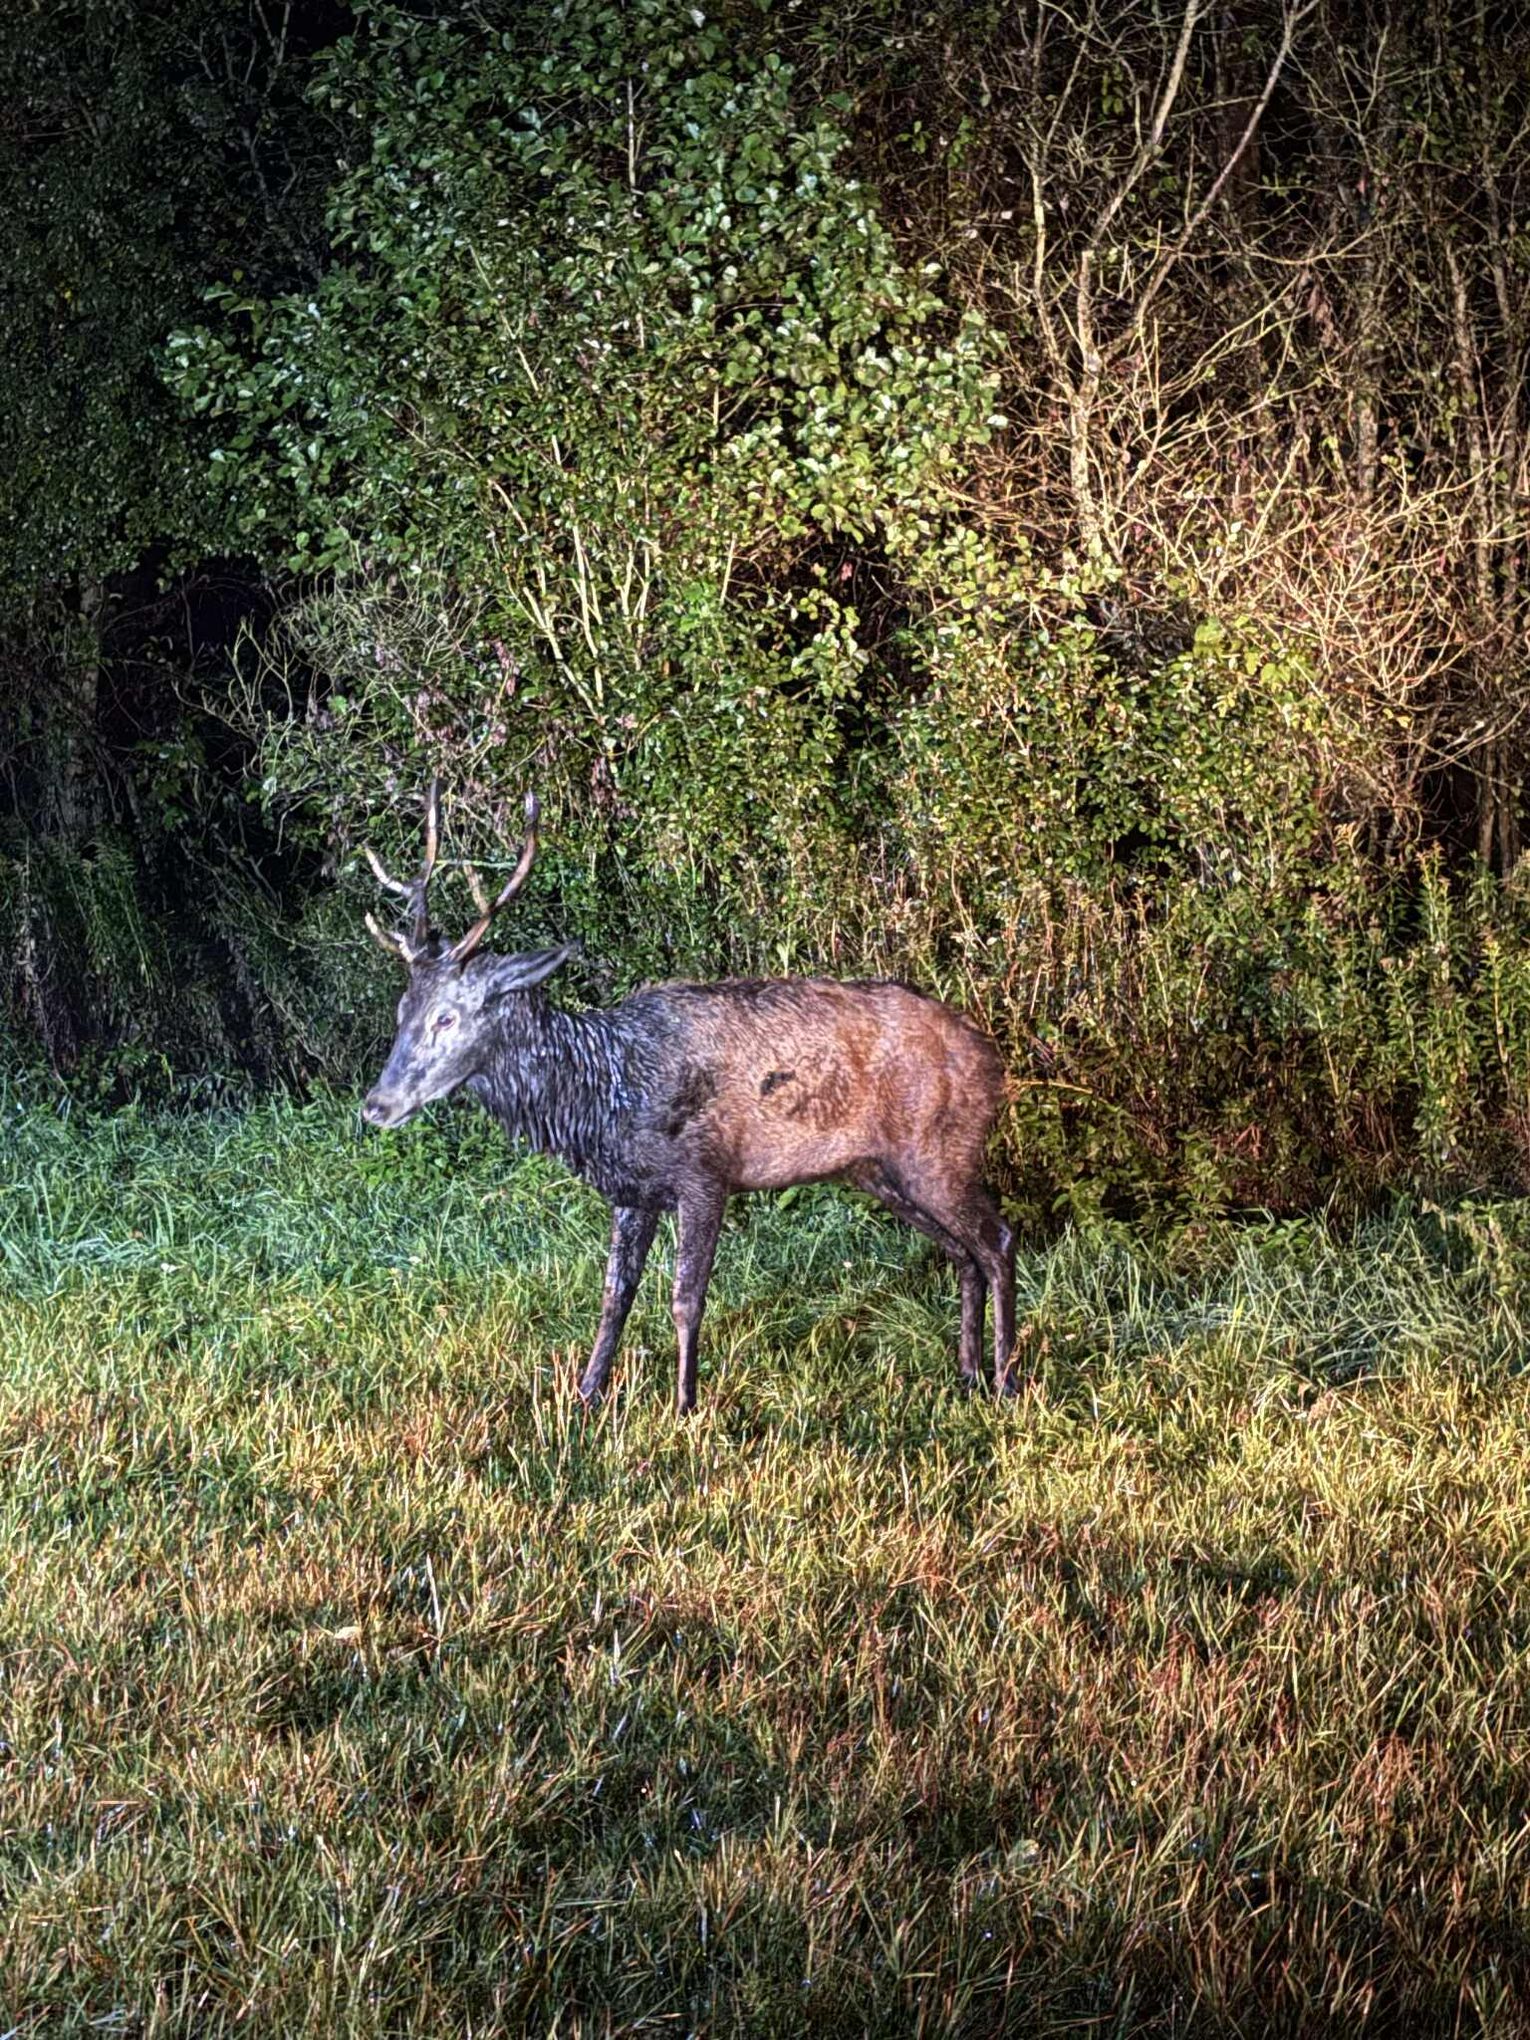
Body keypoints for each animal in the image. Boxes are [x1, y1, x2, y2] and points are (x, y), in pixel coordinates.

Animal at [360, 783, 1018, 1413]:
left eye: (447, 1017)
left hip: (941, 1151)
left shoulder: (704, 1173)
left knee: (999, 1240)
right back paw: (967, 1371)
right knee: (961, 1252)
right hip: (876, 1169)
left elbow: (685, 1297)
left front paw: (685, 1406)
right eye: (401, 1009)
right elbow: (614, 1295)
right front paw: (587, 1396)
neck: (606, 1099)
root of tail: (993, 1060)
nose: (376, 1105)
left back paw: (1007, 1379)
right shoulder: (632, 1191)